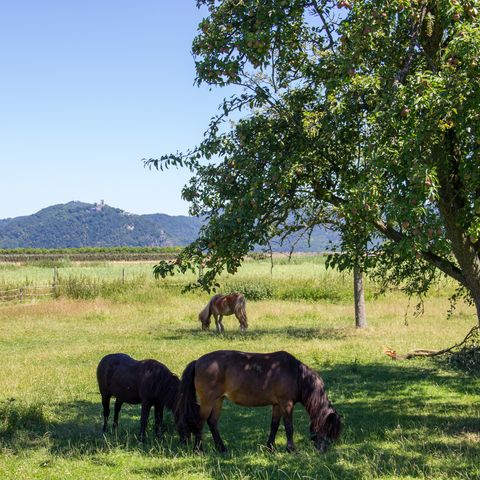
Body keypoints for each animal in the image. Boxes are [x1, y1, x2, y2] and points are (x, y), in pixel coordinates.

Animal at [176, 348, 342, 454]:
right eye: (329, 428)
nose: (324, 450)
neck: (297, 375)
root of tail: (198, 361)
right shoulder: (286, 404)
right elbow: (289, 427)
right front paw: (291, 449)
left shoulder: (277, 405)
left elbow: (274, 426)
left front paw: (270, 448)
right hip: (208, 401)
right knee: (200, 422)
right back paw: (198, 450)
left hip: (218, 400)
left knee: (212, 422)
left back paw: (222, 448)